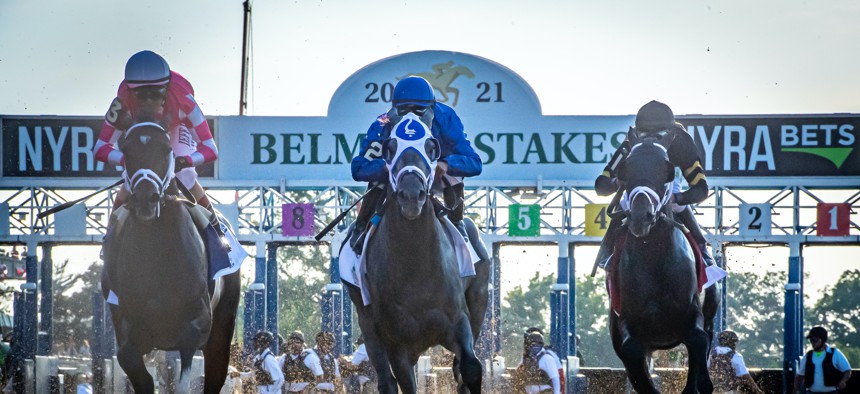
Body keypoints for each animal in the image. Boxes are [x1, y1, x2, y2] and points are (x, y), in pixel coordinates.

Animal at [103, 121, 242, 392]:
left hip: (223, 326)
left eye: (166, 149)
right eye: (126, 150)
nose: (145, 200)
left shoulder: (198, 324)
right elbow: (136, 369)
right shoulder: (129, 331)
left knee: (216, 371)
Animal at [344, 112, 490, 392]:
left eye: (431, 147)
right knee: (386, 381)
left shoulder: (459, 323)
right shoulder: (397, 343)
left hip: (478, 301)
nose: (412, 195)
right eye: (390, 148)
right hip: (368, 325)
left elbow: (469, 367)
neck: (416, 266)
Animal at [608, 130, 724, 394]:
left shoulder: (692, 313)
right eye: (626, 168)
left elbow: (698, 340)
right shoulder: (627, 324)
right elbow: (632, 354)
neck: (652, 256)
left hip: (710, 310)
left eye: (666, 169)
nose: (641, 216)